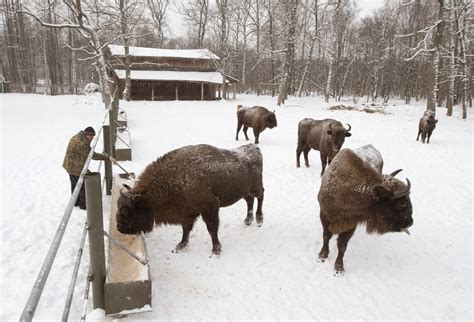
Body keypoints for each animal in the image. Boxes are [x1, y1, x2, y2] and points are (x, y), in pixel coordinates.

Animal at [116, 143, 264, 256]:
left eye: (124, 212)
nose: (119, 227)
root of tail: (254, 147)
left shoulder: (210, 207)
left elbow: (212, 229)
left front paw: (215, 250)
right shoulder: (187, 213)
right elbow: (186, 229)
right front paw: (180, 246)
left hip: (255, 187)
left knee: (261, 196)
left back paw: (259, 219)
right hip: (244, 191)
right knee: (250, 200)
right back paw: (248, 220)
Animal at [316, 145, 412, 276]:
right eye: (402, 203)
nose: (410, 222)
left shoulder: (351, 224)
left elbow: (342, 245)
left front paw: (339, 268)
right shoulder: (325, 215)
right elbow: (326, 236)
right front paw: (322, 256)